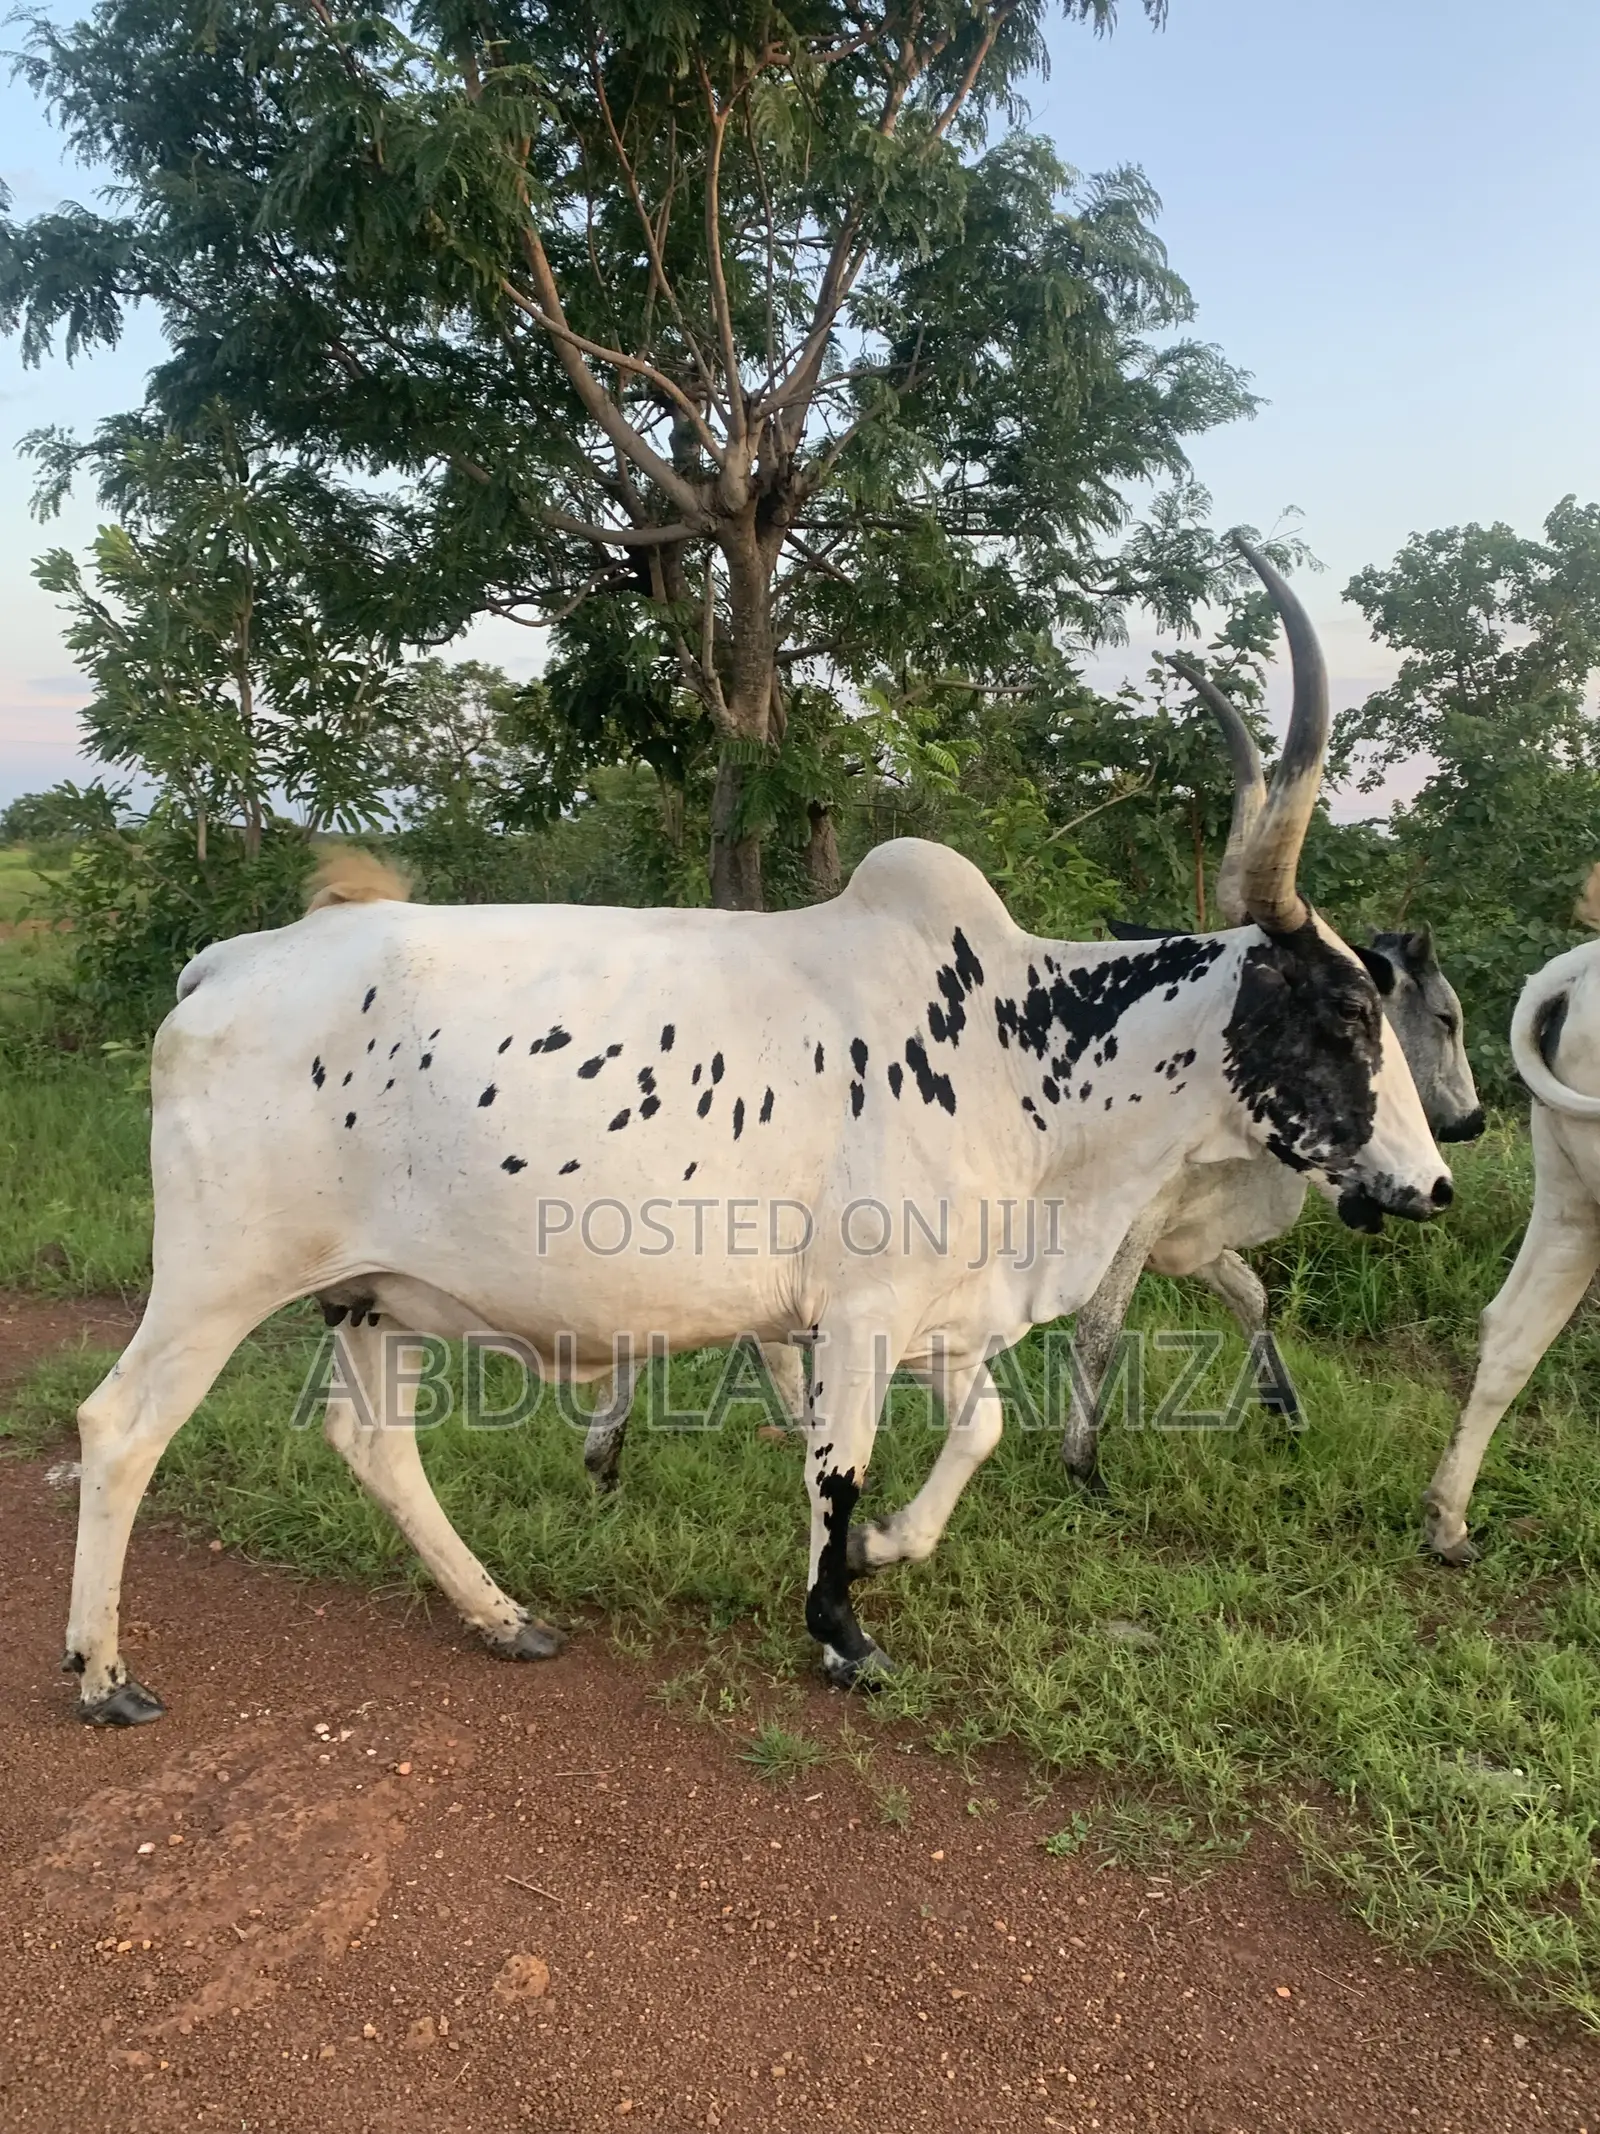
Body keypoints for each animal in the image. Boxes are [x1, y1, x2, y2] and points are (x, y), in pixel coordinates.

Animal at [1059, 661, 1484, 1486]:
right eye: (1447, 1019)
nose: (1475, 1119)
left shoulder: (1186, 1231)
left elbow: (1251, 1294)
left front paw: (1283, 1407)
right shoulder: (1127, 1223)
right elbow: (1098, 1326)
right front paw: (1082, 1466)